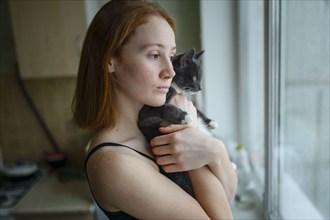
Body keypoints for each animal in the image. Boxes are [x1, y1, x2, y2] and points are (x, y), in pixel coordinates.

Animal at [137, 48, 217, 196]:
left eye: (200, 78)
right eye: (194, 78)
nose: (200, 88)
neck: (174, 86)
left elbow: (197, 110)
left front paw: (211, 122)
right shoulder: (144, 115)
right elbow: (165, 107)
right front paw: (185, 117)